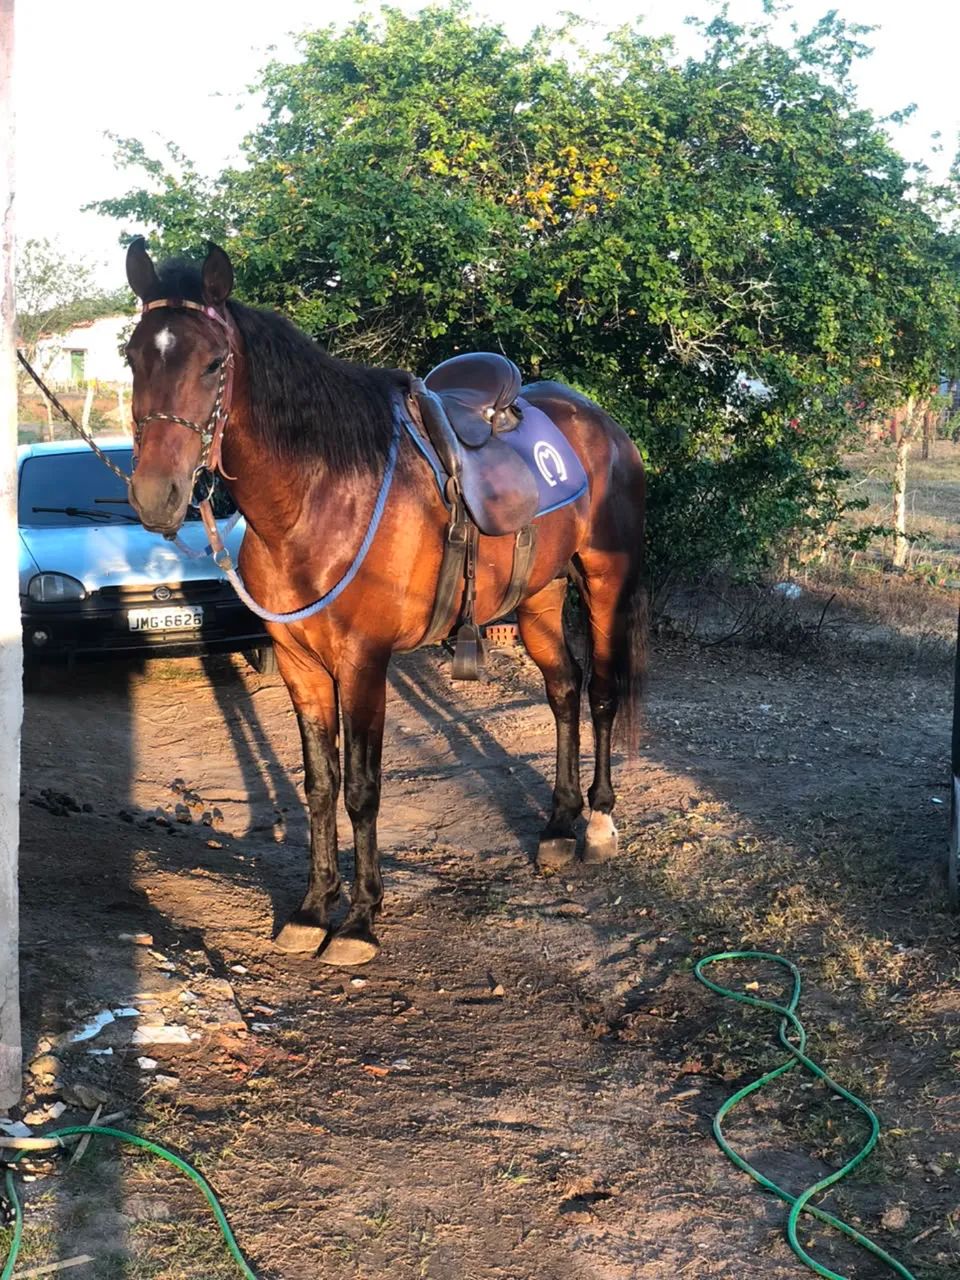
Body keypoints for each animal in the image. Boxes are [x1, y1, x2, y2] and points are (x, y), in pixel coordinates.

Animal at [123, 238, 647, 967]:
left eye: (212, 363)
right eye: (132, 358)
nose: (156, 494)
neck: (318, 500)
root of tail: (598, 421)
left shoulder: (364, 663)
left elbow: (362, 790)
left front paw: (360, 920)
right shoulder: (300, 664)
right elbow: (319, 785)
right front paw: (313, 908)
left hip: (602, 580)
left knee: (600, 692)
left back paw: (597, 821)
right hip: (538, 596)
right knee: (564, 690)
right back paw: (557, 824)